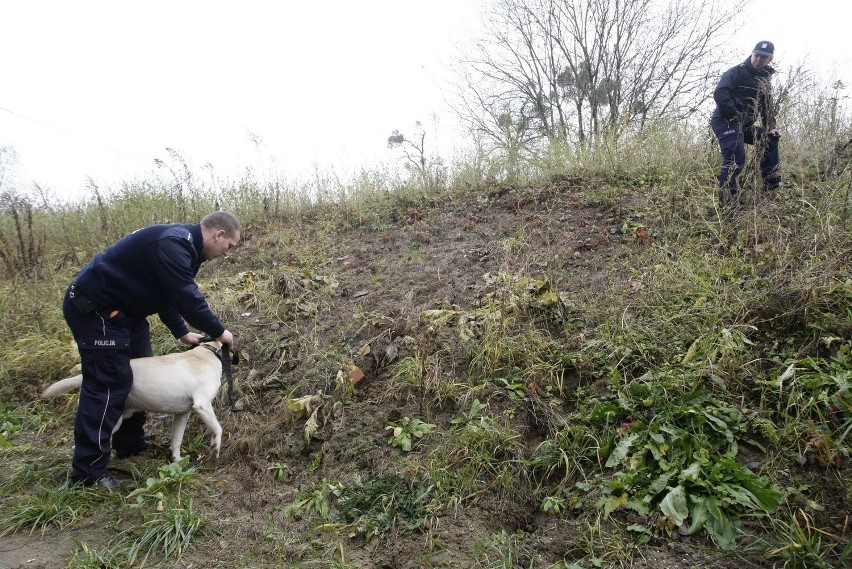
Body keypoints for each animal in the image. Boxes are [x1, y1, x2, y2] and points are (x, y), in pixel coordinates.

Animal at [41, 340, 235, 460]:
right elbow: (218, 429)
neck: (207, 352)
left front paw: (177, 460)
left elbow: (176, 441)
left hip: (119, 419)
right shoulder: (202, 405)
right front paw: (215, 446)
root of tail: (84, 376)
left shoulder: (182, 415)